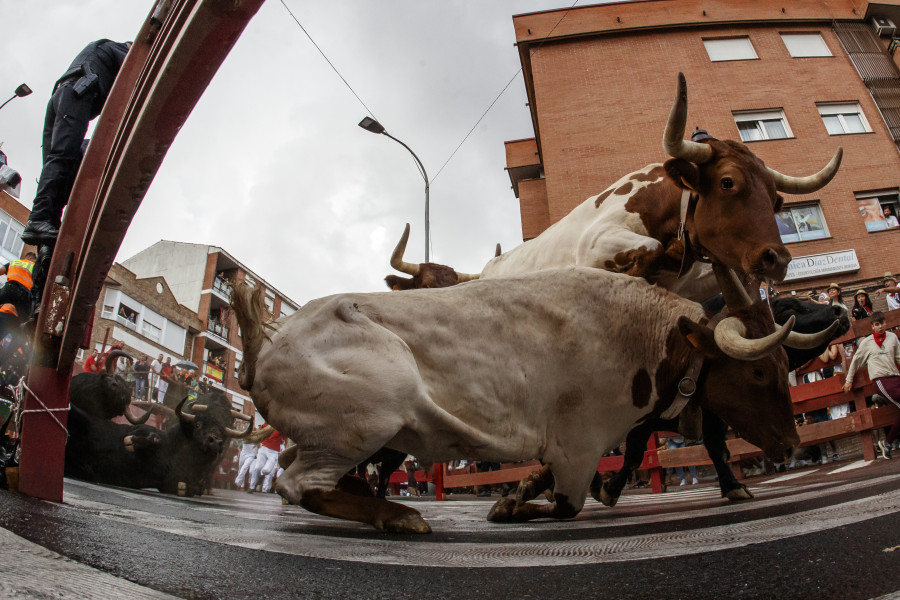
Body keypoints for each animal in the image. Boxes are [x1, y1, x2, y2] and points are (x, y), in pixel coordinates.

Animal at [66, 392, 253, 494]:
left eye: (224, 431)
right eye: (198, 424)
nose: (216, 442)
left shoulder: (171, 482)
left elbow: (189, 487)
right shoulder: (140, 429)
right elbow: (145, 436)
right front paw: (131, 442)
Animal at [232, 264, 800, 532]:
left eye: (782, 366)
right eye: (756, 372)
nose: (791, 445)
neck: (641, 333)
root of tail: (268, 344)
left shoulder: (582, 445)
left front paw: (522, 491)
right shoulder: (579, 442)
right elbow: (567, 505)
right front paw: (509, 505)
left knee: (303, 470)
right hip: (370, 414)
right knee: (298, 484)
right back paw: (398, 515)